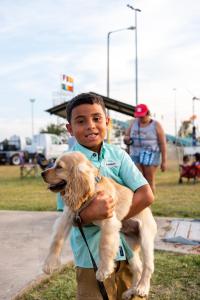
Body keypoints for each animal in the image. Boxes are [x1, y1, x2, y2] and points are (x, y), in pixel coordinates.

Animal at [41, 151, 158, 298]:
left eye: (59, 167)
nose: (42, 173)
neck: (90, 194)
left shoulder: (109, 222)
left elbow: (104, 246)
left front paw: (103, 270)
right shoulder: (68, 216)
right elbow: (57, 239)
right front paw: (49, 264)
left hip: (146, 238)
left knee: (148, 266)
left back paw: (142, 288)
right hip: (130, 245)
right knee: (138, 267)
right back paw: (130, 291)